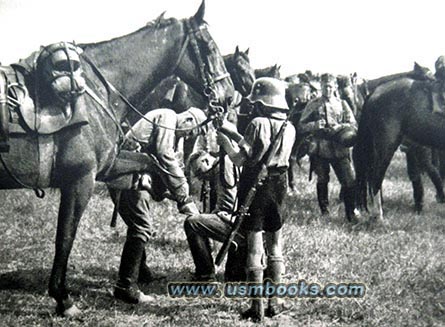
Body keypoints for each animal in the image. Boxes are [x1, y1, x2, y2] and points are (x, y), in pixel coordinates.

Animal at [0, 1, 234, 316]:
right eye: (209, 48)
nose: (230, 96)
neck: (97, 93)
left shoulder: (108, 167)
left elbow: (149, 163)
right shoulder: (81, 180)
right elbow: (65, 236)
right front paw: (63, 298)